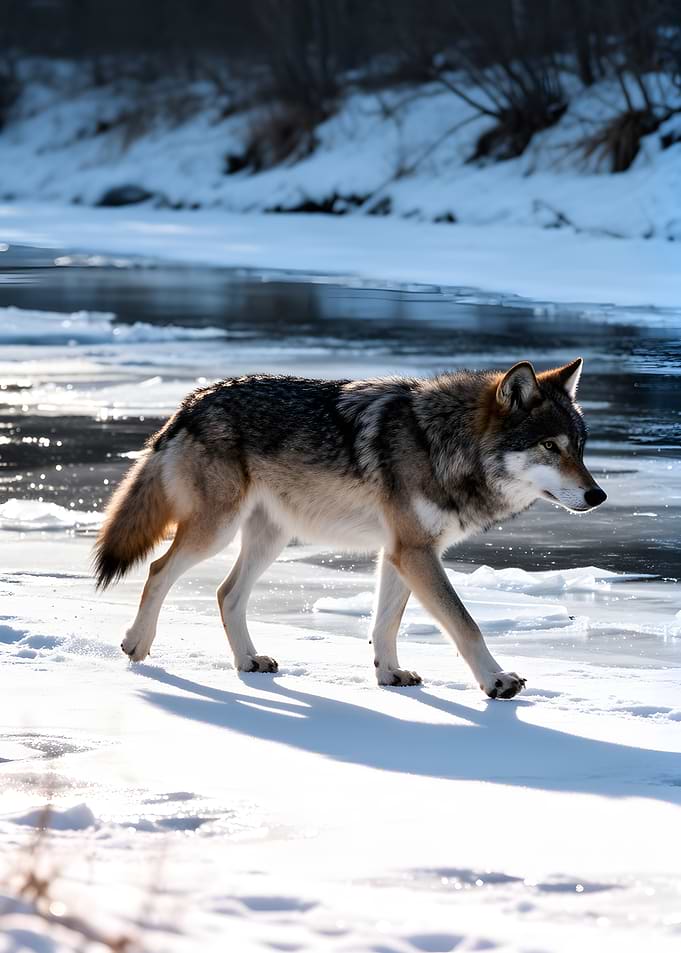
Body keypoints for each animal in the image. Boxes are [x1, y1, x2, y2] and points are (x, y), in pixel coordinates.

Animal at [94, 358, 605, 699]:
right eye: (550, 446)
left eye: (579, 448)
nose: (598, 496)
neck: (442, 444)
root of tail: (190, 402)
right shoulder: (414, 553)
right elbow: (466, 624)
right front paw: (496, 680)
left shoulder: (403, 552)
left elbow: (385, 625)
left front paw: (389, 676)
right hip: (216, 531)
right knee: (159, 570)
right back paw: (136, 644)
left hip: (270, 538)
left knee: (225, 593)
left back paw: (247, 661)